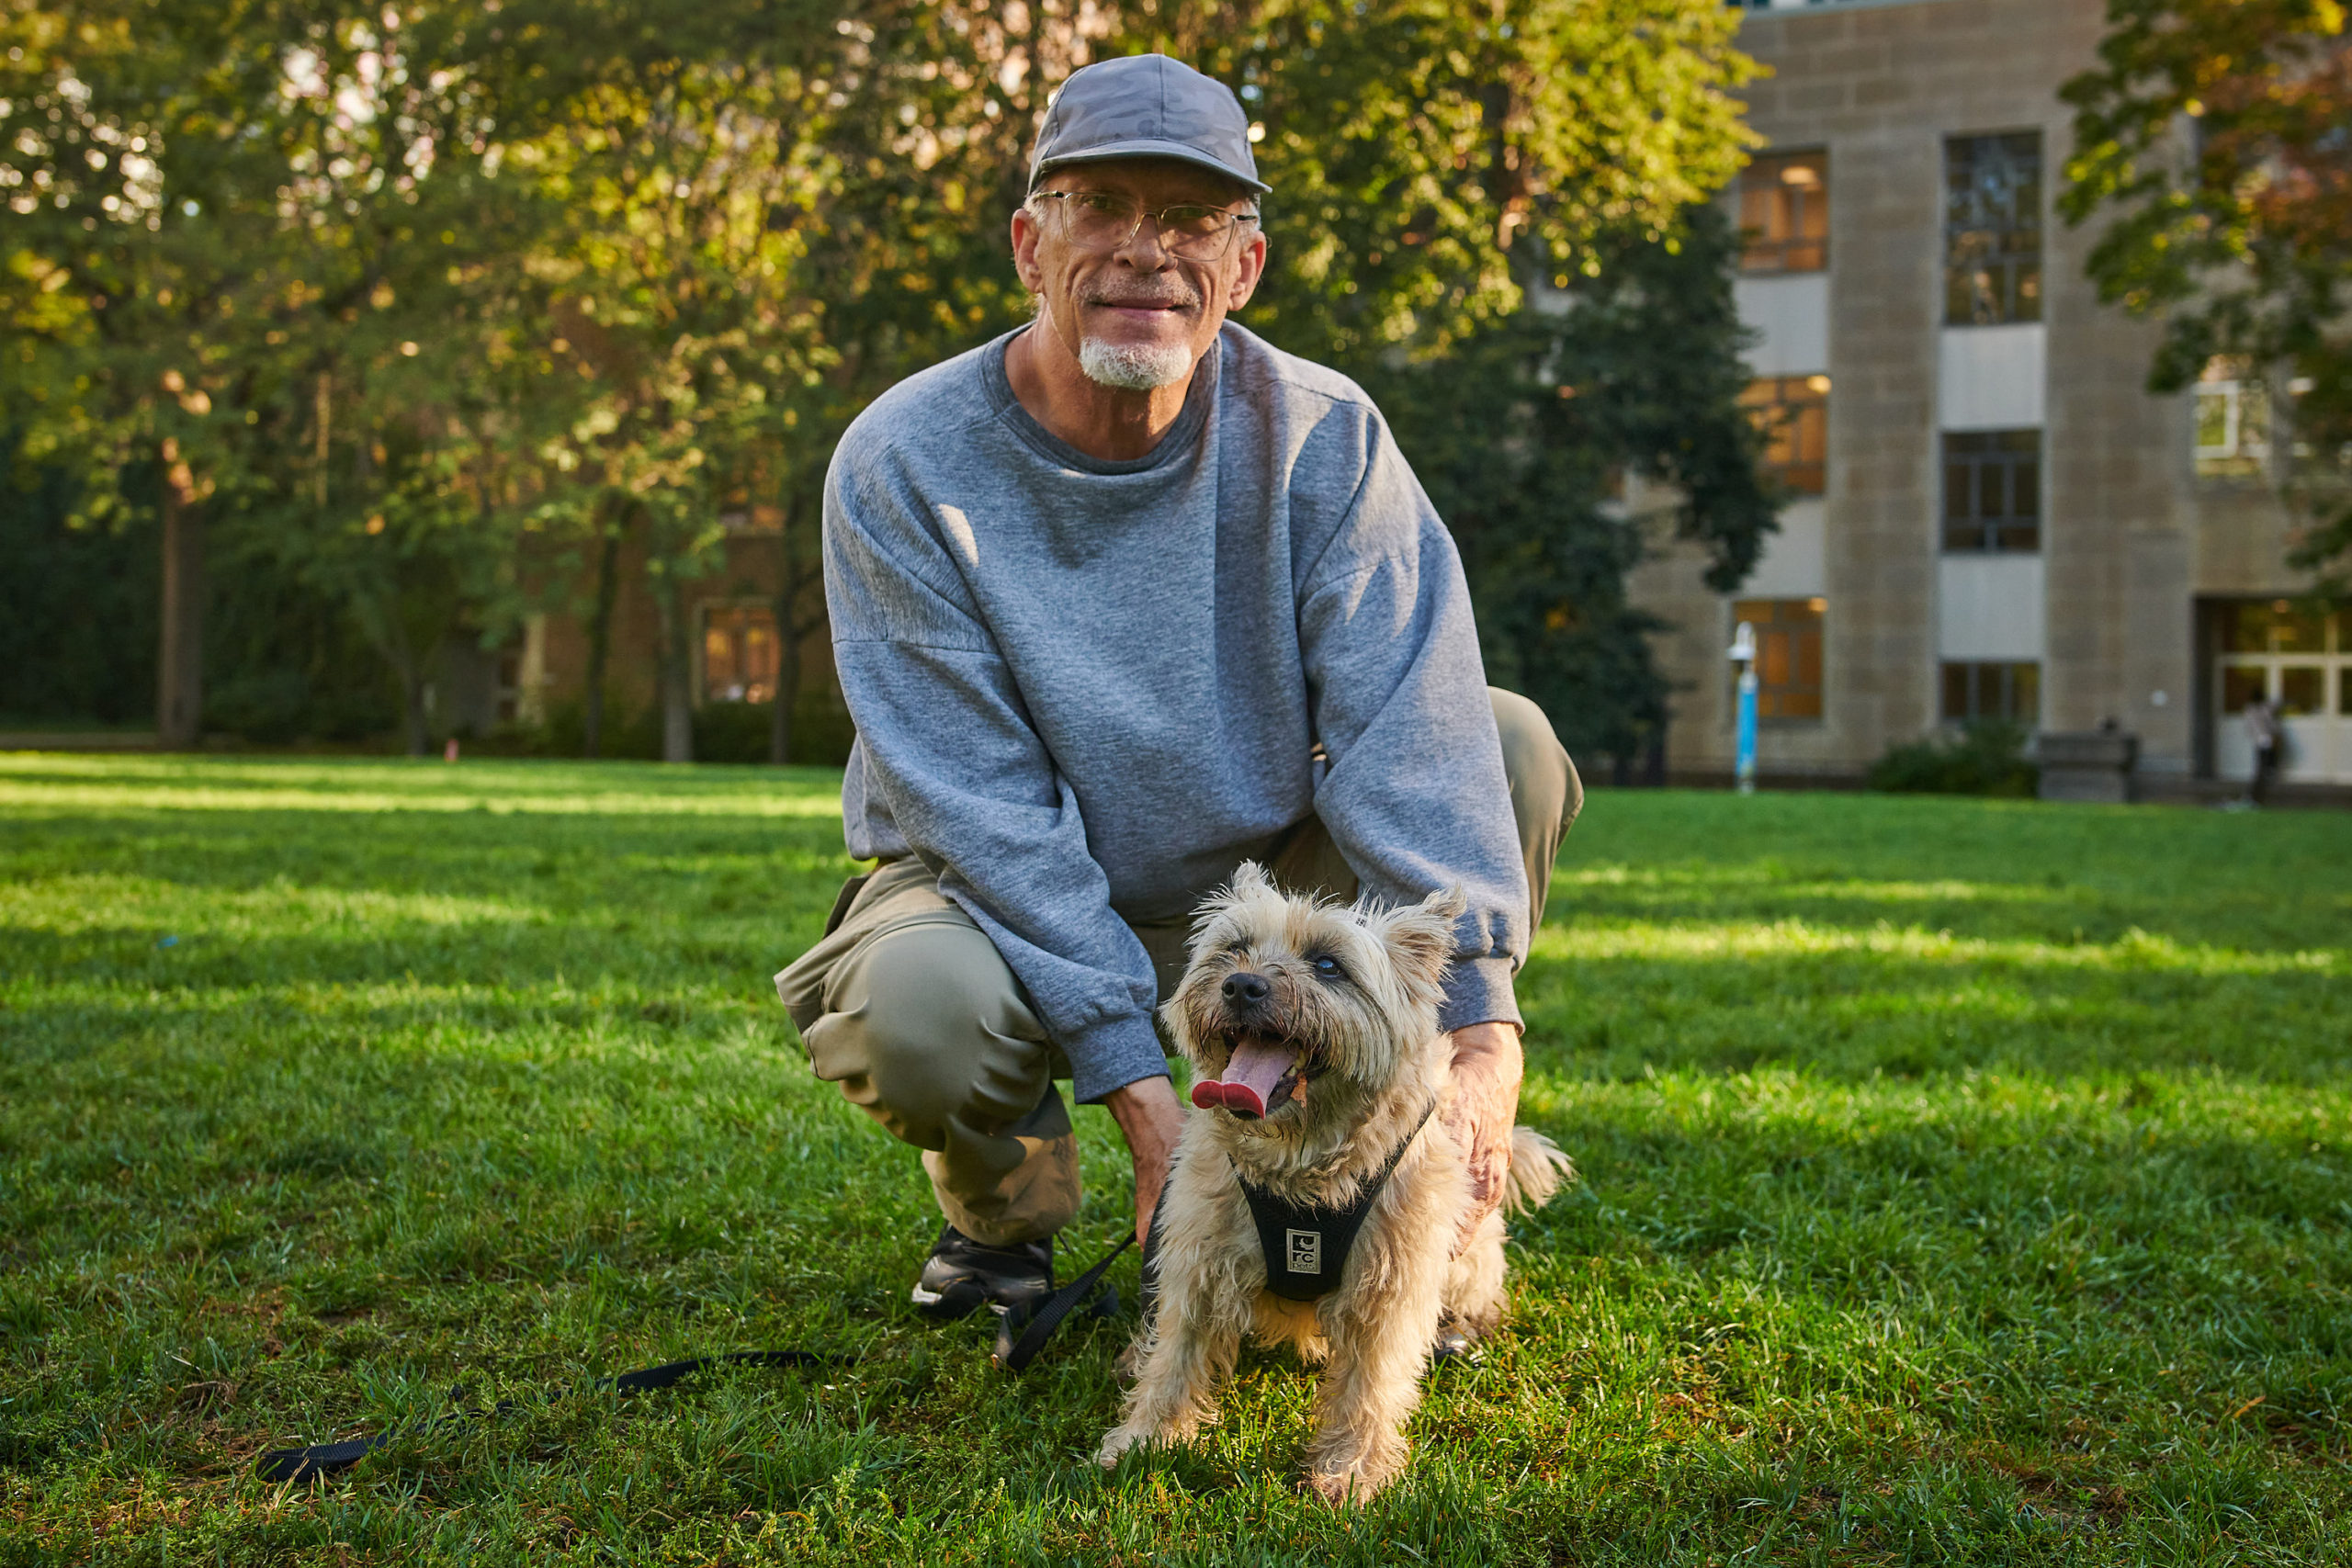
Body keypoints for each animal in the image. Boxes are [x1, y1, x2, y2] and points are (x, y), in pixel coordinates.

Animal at [1095, 864, 1571, 1504]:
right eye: (1235, 948)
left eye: (1328, 965)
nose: (1241, 986)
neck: (1299, 1167)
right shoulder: (1199, 1261)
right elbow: (1175, 1357)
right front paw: (1144, 1439)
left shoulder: (1389, 1285)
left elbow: (1369, 1386)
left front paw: (1350, 1470)